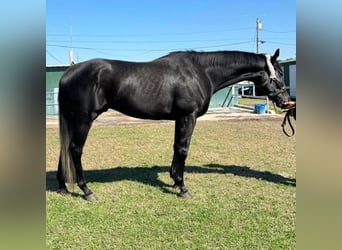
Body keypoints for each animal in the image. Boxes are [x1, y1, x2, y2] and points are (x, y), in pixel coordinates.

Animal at [56, 49, 294, 201]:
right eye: (280, 73)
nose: (286, 101)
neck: (201, 72)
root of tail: (68, 73)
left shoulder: (180, 118)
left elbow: (176, 148)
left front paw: (174, 181)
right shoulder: (188, 116)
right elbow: (183, 149)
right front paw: (182, 187)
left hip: (72, 119)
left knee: (64, 149)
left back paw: (62, 186)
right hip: (84, 119)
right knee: (75, 150)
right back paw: (86, 191)